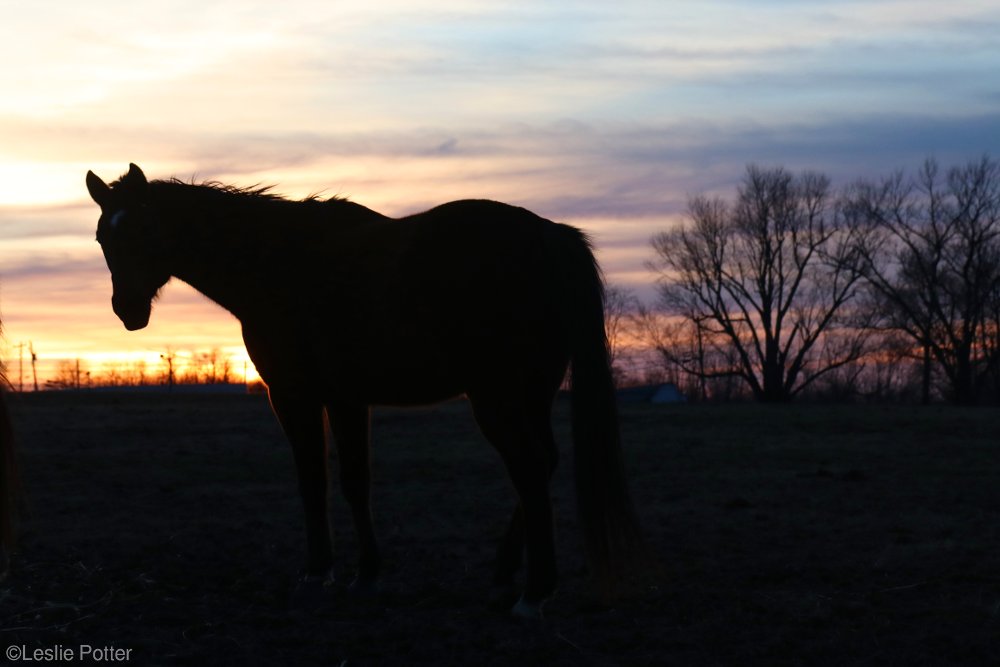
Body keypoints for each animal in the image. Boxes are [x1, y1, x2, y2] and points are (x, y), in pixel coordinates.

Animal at [90, 164, 644, 620]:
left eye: (143, 229)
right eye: (102, 237)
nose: (128, 310)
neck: (278, 265)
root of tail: (551, 237)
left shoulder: (294, 395)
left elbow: (313, 480)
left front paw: (318, 573)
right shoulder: (347, 398)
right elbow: (357, 482)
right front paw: (367, 575)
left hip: (498, 397)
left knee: (527, 469)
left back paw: (533, 593)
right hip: (532, 394)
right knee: (542, 464)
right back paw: (503, 578)